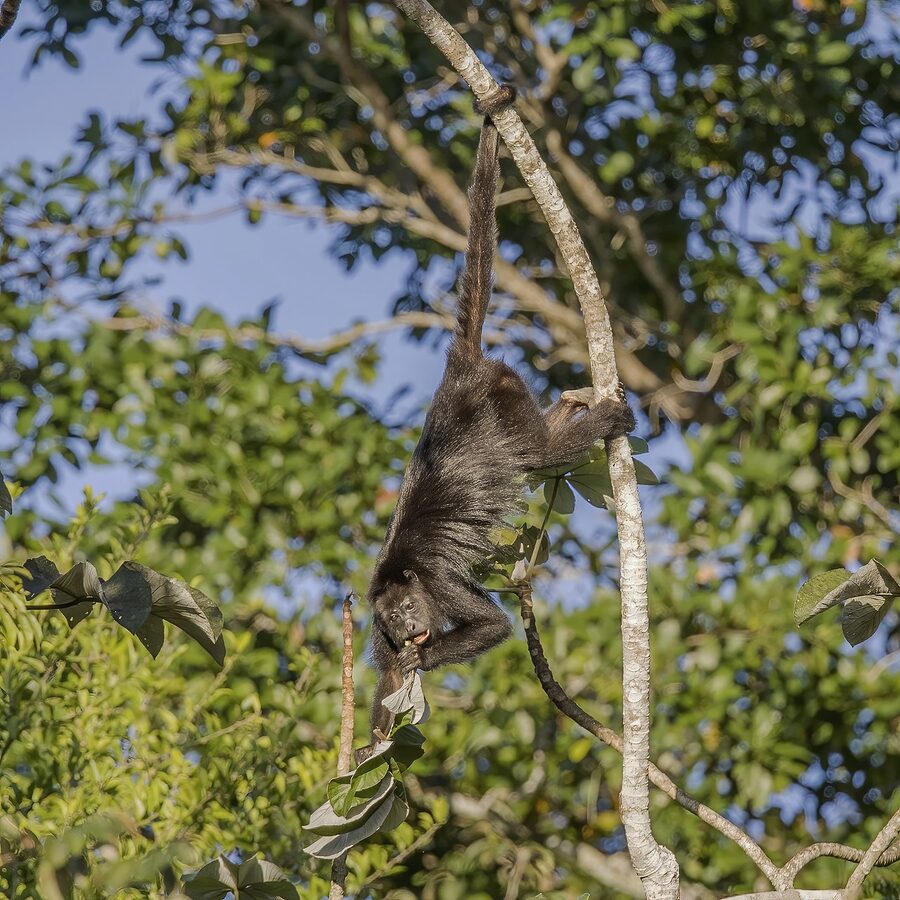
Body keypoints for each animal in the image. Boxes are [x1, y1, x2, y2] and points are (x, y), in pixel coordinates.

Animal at [365, 85, 635, 738]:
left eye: (409, 608)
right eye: (392, 619)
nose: (408, 629)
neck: (404, 579)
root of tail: (458, 375)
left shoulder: (438, 584)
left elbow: (493, 625)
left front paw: (424, 658)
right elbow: (384, 695)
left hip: (501, 393)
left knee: (538, 452)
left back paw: (602, 418)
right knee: (538, 454)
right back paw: (572, 404)